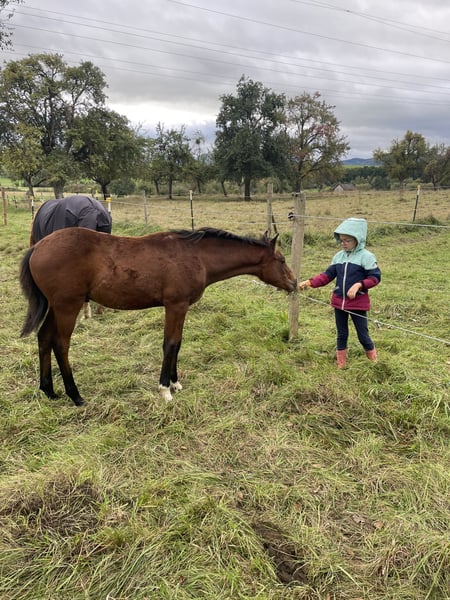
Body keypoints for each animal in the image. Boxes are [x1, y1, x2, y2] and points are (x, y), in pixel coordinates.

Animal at [19, 226, 297, 406]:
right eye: (282, 260)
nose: (294, 283)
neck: (196, 255)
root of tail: (37, 247)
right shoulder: (176, 305)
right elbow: (170, 344)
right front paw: (165, 390)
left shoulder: (180, 308)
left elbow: (178, 343)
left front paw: (175, 383)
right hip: (68, 306)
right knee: (60, 344)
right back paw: (75, 395)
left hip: (55, 307)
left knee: (44, 338)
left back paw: (48, 390)